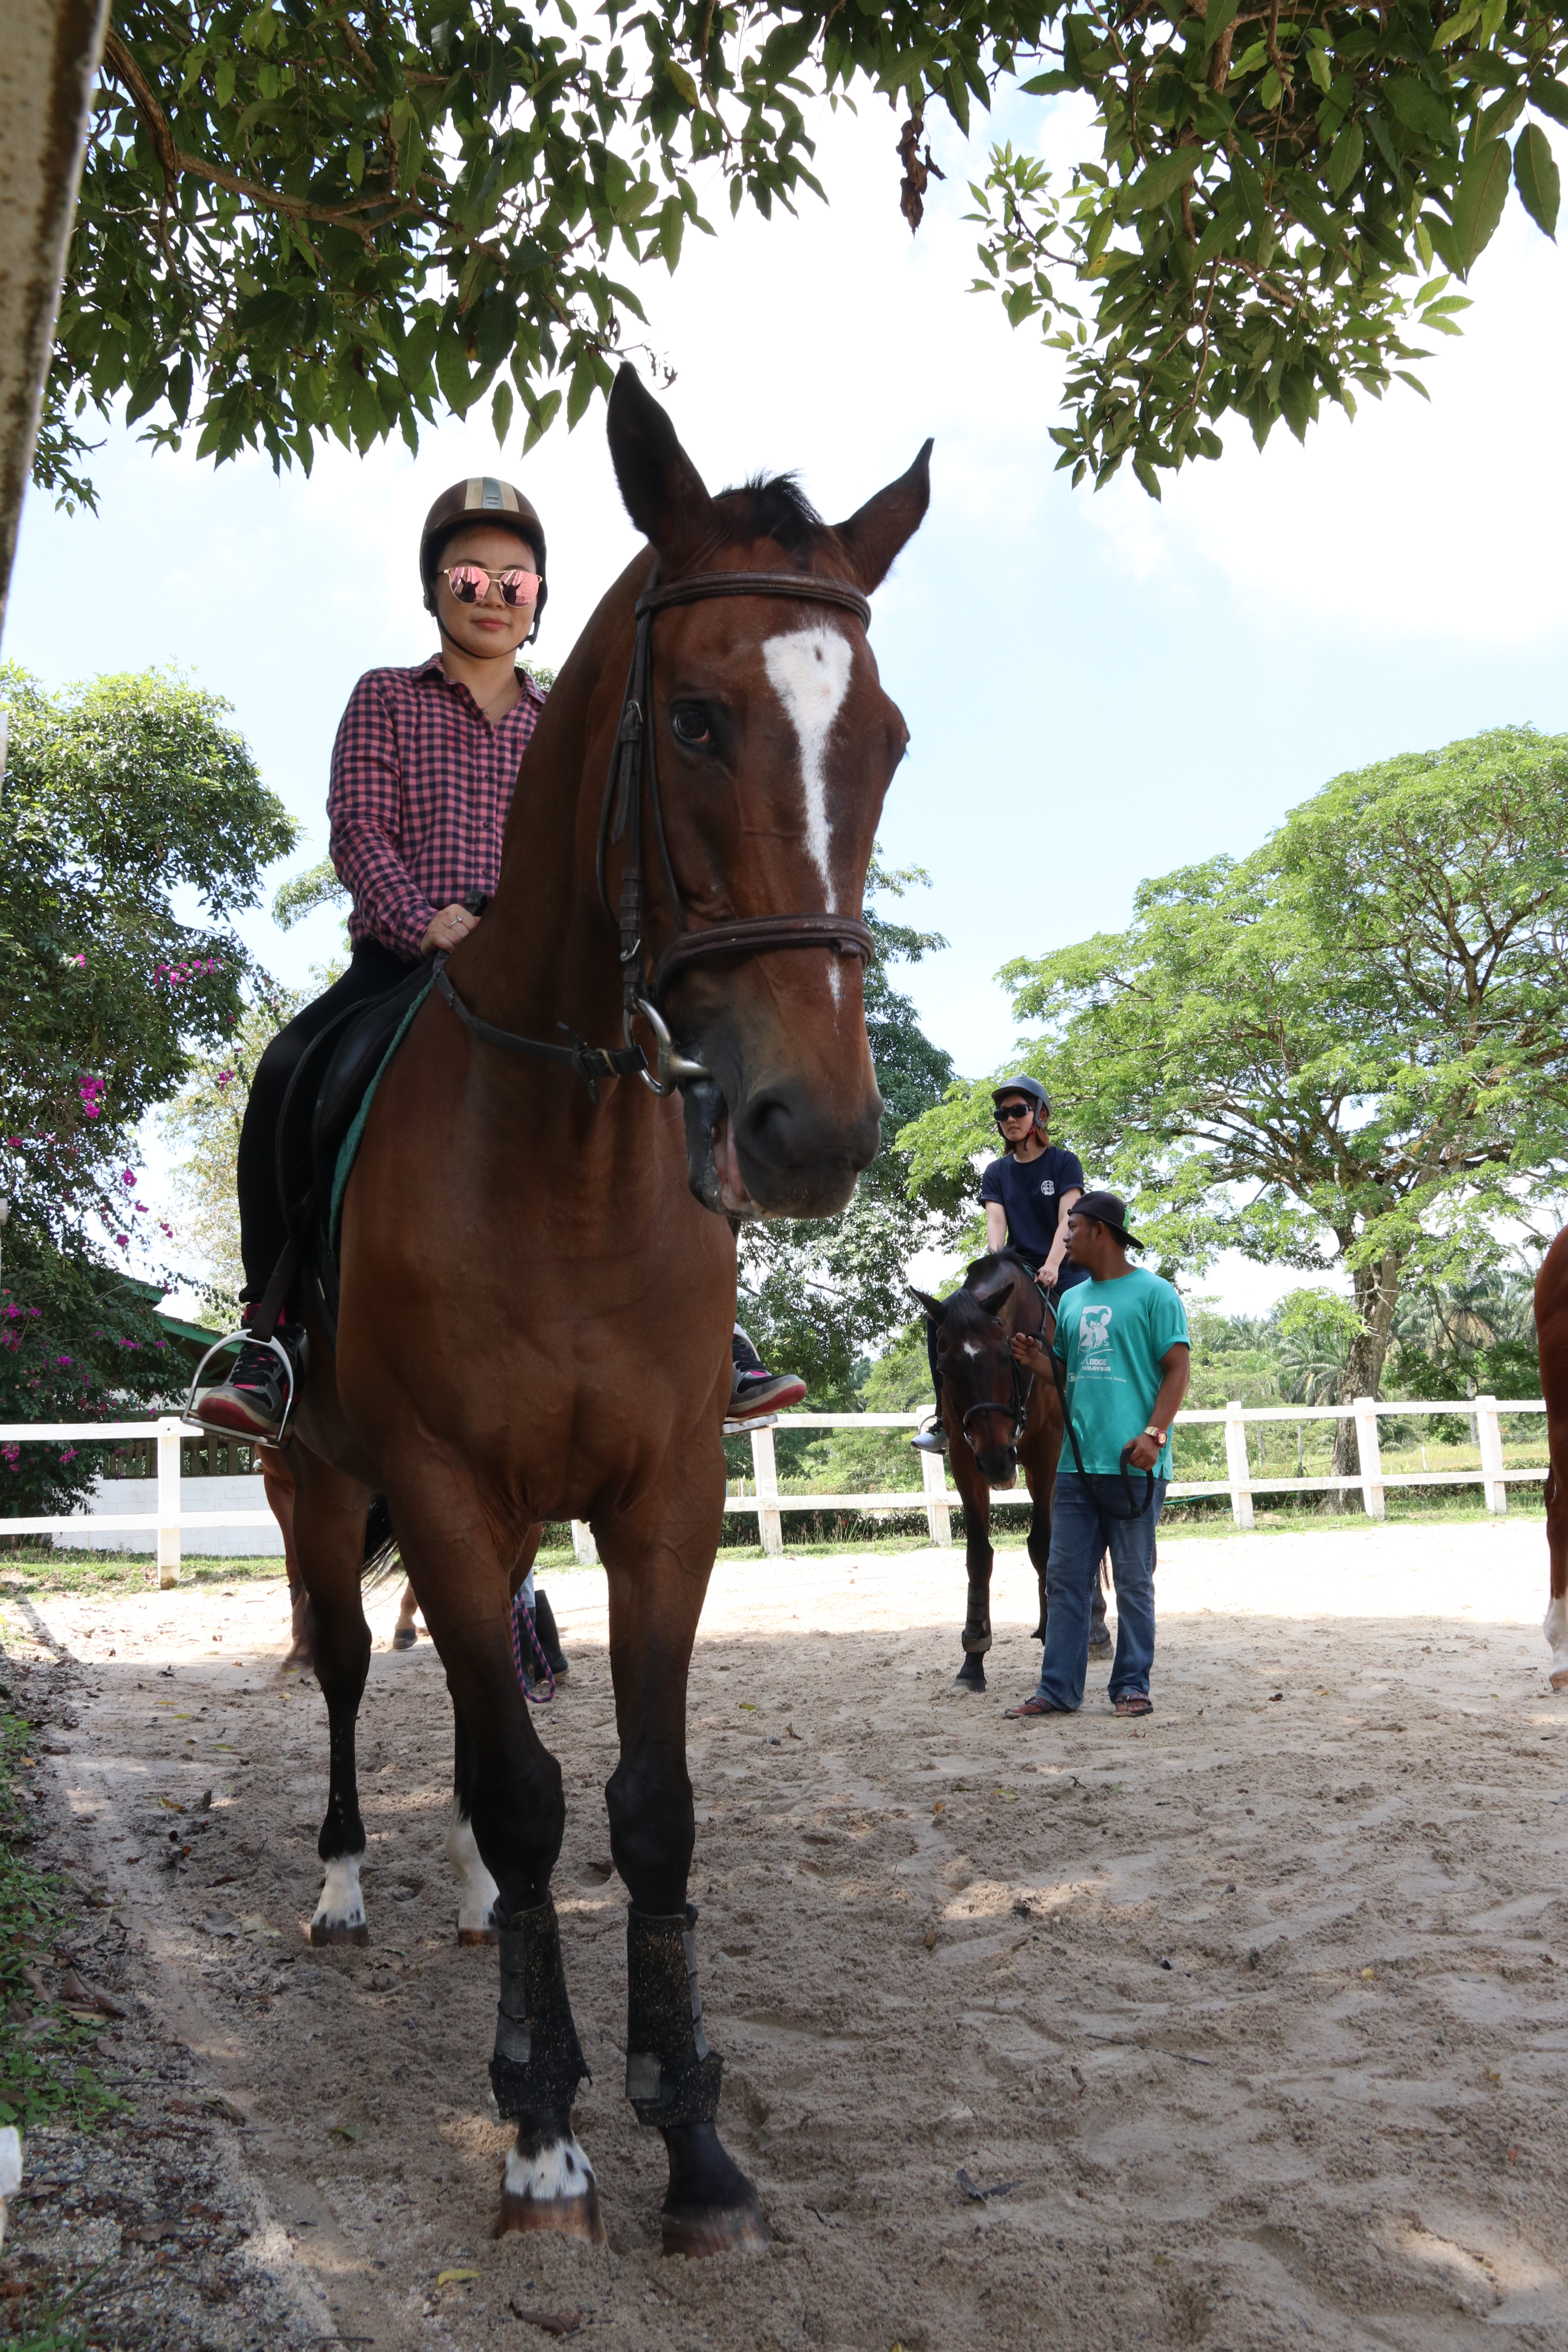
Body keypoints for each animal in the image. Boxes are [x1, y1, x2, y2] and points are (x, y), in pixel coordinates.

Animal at [274, 365, 930, 2258]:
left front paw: (690, 2139)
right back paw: (348, 1888)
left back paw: (479, 1902)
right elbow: (519, 1784)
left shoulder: (664, 1500)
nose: (811, 1130)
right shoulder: (437, 1490)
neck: (560, 1159)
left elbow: (643, 1808)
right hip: (314, 1484)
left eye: (884, 741)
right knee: (351, 1669)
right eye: (696, 722)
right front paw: (542, 2129)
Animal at [910, 1254, 1106, 1689]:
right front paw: (973, 1656)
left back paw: (1096, 1628)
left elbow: (1044, 1545)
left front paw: (1055, 1635)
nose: (999, 1461)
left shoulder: (1045, 1455)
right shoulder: (966, 1461)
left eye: (1006, 1357)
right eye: (944, 1368)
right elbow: (979, 1555)